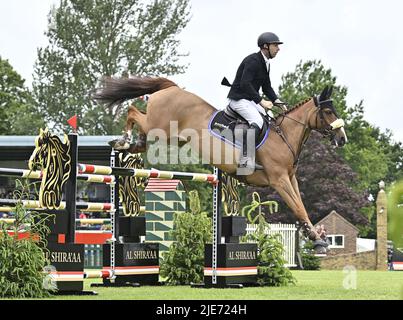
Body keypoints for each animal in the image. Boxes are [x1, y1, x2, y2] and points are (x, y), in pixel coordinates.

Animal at [91, 75, 348, 252]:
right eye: (328, 111)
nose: (342, 138)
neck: (283, 136)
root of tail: (172, 88)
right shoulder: (279, 180)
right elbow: (297, 206)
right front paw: (317, 240)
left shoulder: (290, 179)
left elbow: (300, 205)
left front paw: (314, 235)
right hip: (159, 125)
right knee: (132, 110)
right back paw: (122, 138)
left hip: (168, 136)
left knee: (139, 136)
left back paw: (126, 143)